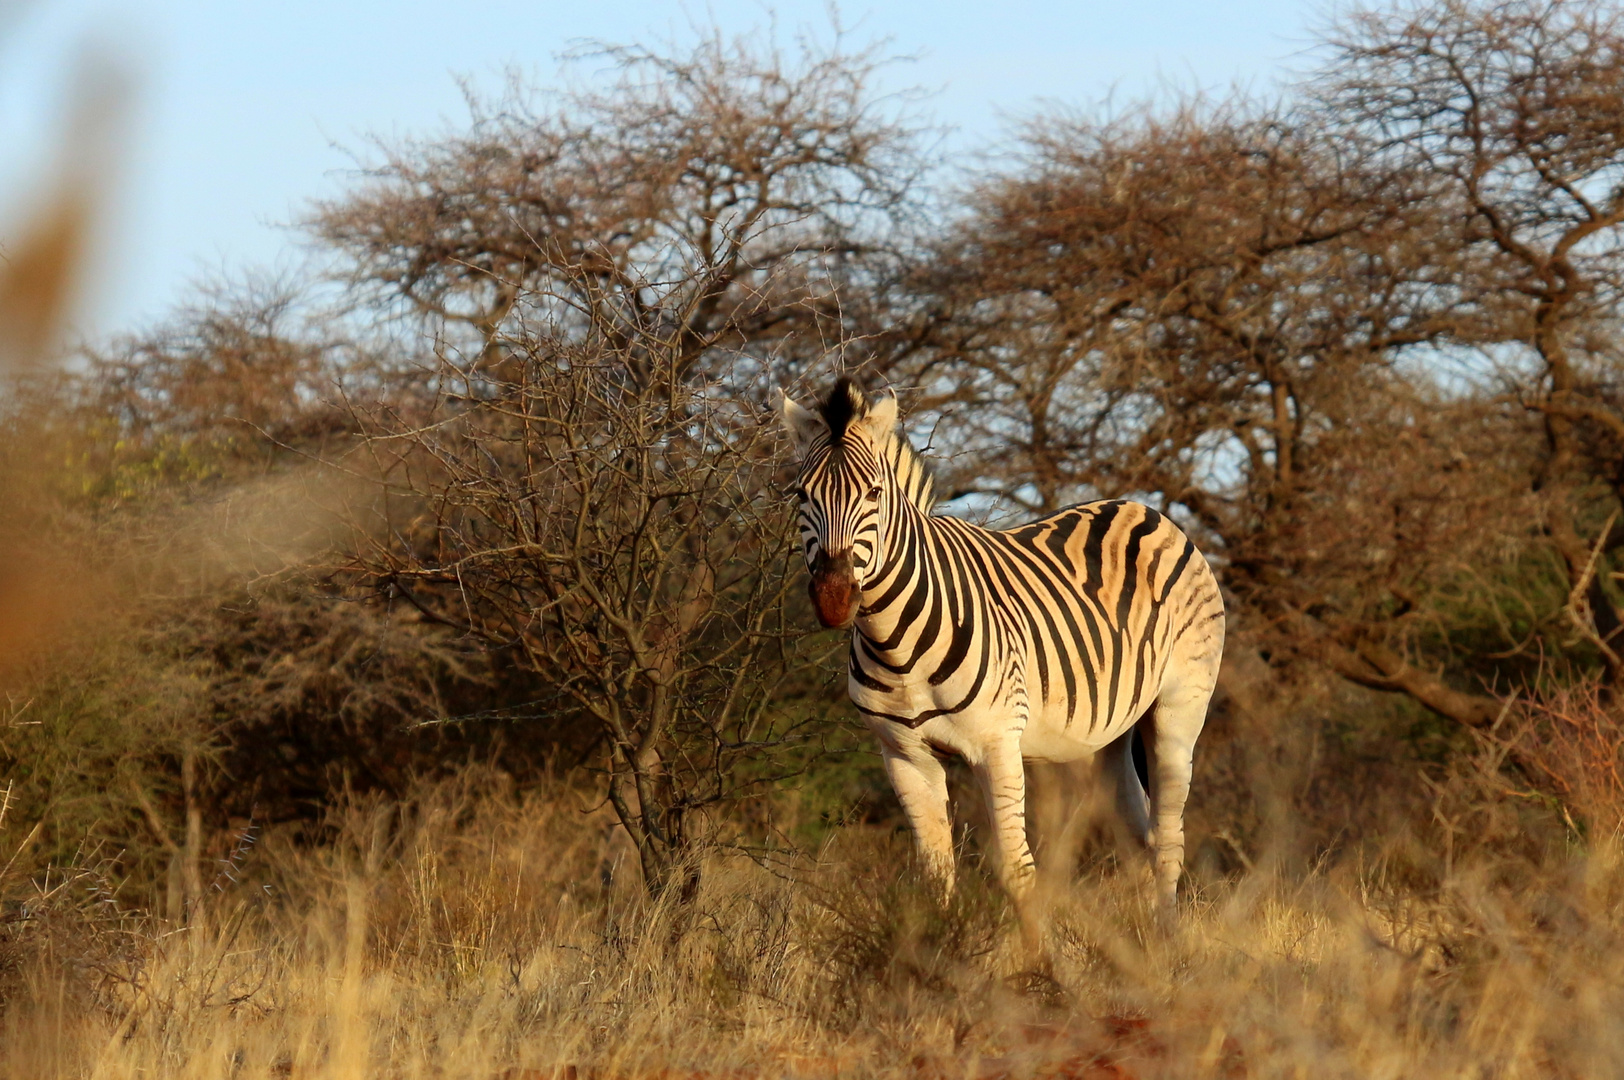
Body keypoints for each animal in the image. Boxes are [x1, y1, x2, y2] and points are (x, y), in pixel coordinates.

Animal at [779, 378, 1221, 909]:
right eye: (801, 494)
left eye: (874, 492)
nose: (833, 597)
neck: (896, 648)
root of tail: (1143, 508)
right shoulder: (903, 754)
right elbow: (935, 874)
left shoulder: (997, 744)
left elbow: (1017, 870)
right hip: (1106, 735)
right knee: (1137, 836)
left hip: (1179, 709)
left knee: (1168, 841)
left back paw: (1163, 930)